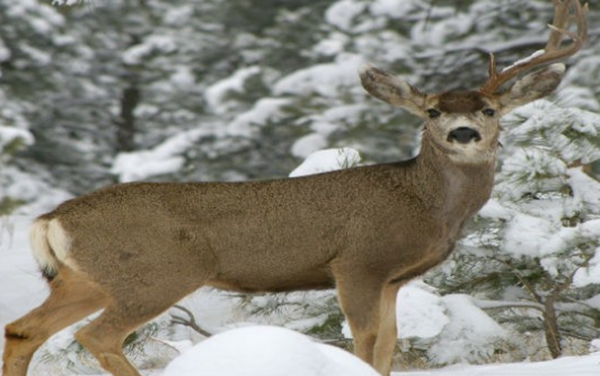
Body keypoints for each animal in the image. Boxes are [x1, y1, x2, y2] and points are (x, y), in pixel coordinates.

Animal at [2, 0, 588, 376]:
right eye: (432, 112)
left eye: (488, 110)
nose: (463, 133)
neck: (425, 205)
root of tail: (53, 217)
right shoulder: (358, 261)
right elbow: (365, 343)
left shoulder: (394, 279)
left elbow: (388, 347)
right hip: (156, 273)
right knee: (95, 336)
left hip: (83, 280)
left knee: (22, 330)